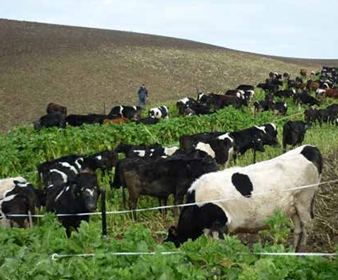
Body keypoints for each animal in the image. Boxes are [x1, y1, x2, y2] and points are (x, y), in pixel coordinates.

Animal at [165, 144, 324, 252]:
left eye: (171, 242)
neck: (196, 205)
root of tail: (309, 148)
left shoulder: (219, 224)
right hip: (294, 206)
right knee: (298, 228)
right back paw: (293, 251)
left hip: (304, 200)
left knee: (308, 226)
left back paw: (302, 251)